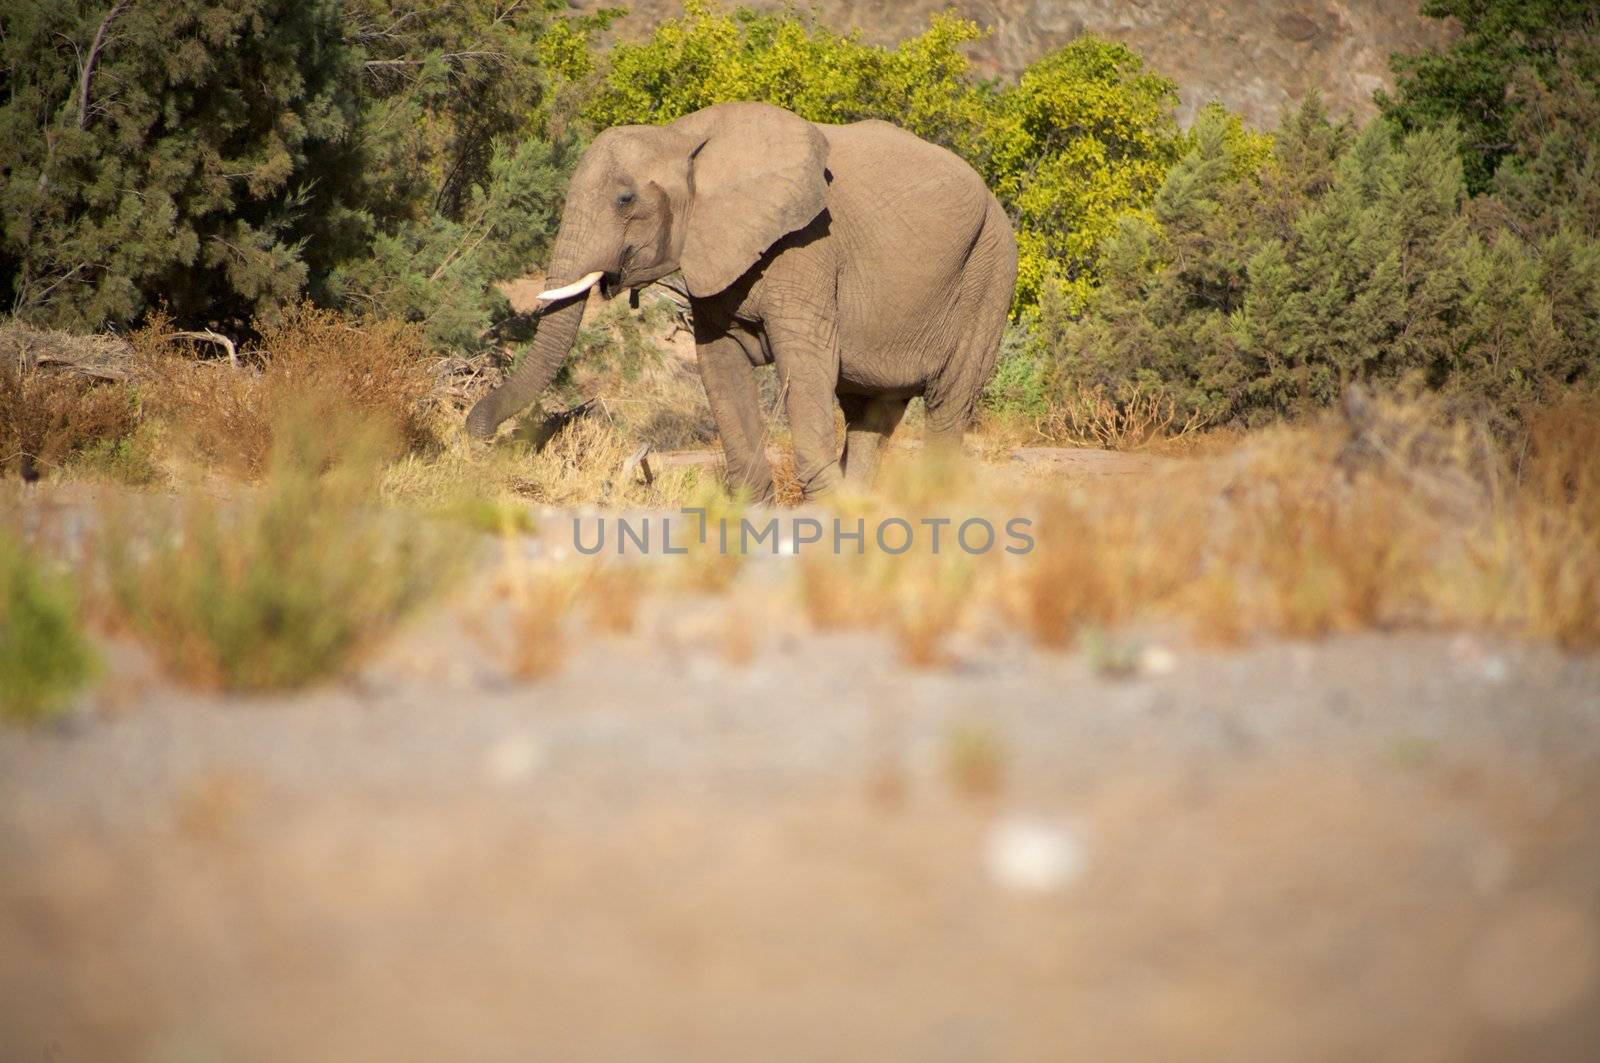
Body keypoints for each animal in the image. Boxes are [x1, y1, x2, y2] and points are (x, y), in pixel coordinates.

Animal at [467, 99, 1011, 499]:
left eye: (625, 199)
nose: (478, 435)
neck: (680, 137)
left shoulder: (808, 248)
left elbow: (806, 367)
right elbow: (720, 366)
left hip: (988, 273)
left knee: (948, 404)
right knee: (871, 413)